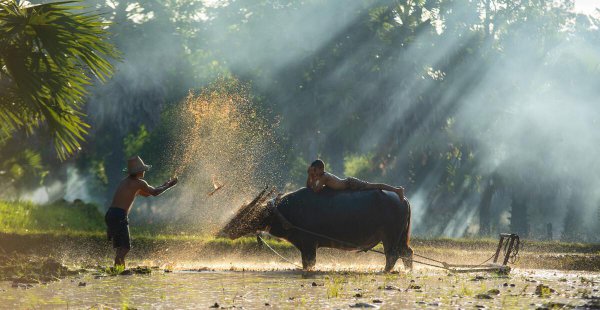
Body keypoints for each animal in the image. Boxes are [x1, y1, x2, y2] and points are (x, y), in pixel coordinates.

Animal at [219, 186, 412, 272]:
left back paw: (385, 271)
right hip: (401, 237)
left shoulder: (309, 244)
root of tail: (403, 199)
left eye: (247, 212)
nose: (227, 229)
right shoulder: (305, 246)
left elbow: (310, 263)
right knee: (407, 253)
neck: (284, 212)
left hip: (390, 237)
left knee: (392, 255)